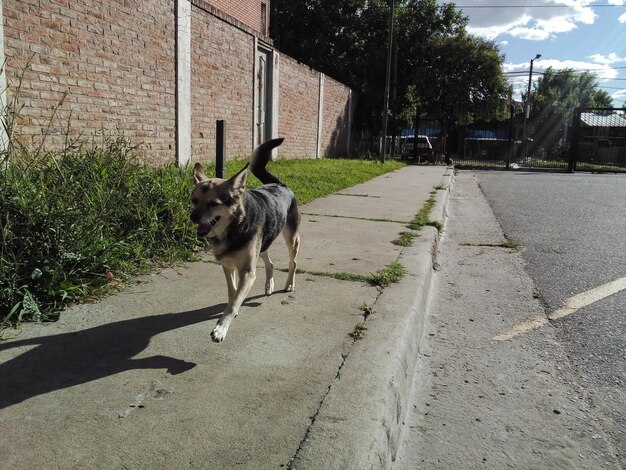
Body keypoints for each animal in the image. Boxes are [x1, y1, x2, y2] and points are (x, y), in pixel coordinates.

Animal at [188, 138, 300, 344]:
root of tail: (279, 184)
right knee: (270, 263)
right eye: (194, 200)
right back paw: (269, 285)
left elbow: (234, 302)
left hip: (291, 237)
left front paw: (221, 328)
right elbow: (233, 292)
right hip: (263, 243)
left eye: (214, 204)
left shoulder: (247, 272)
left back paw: (289, 284)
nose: (193, 217)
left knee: (293, 262)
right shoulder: (228, 265)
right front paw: (231, 308)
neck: (234, 226)